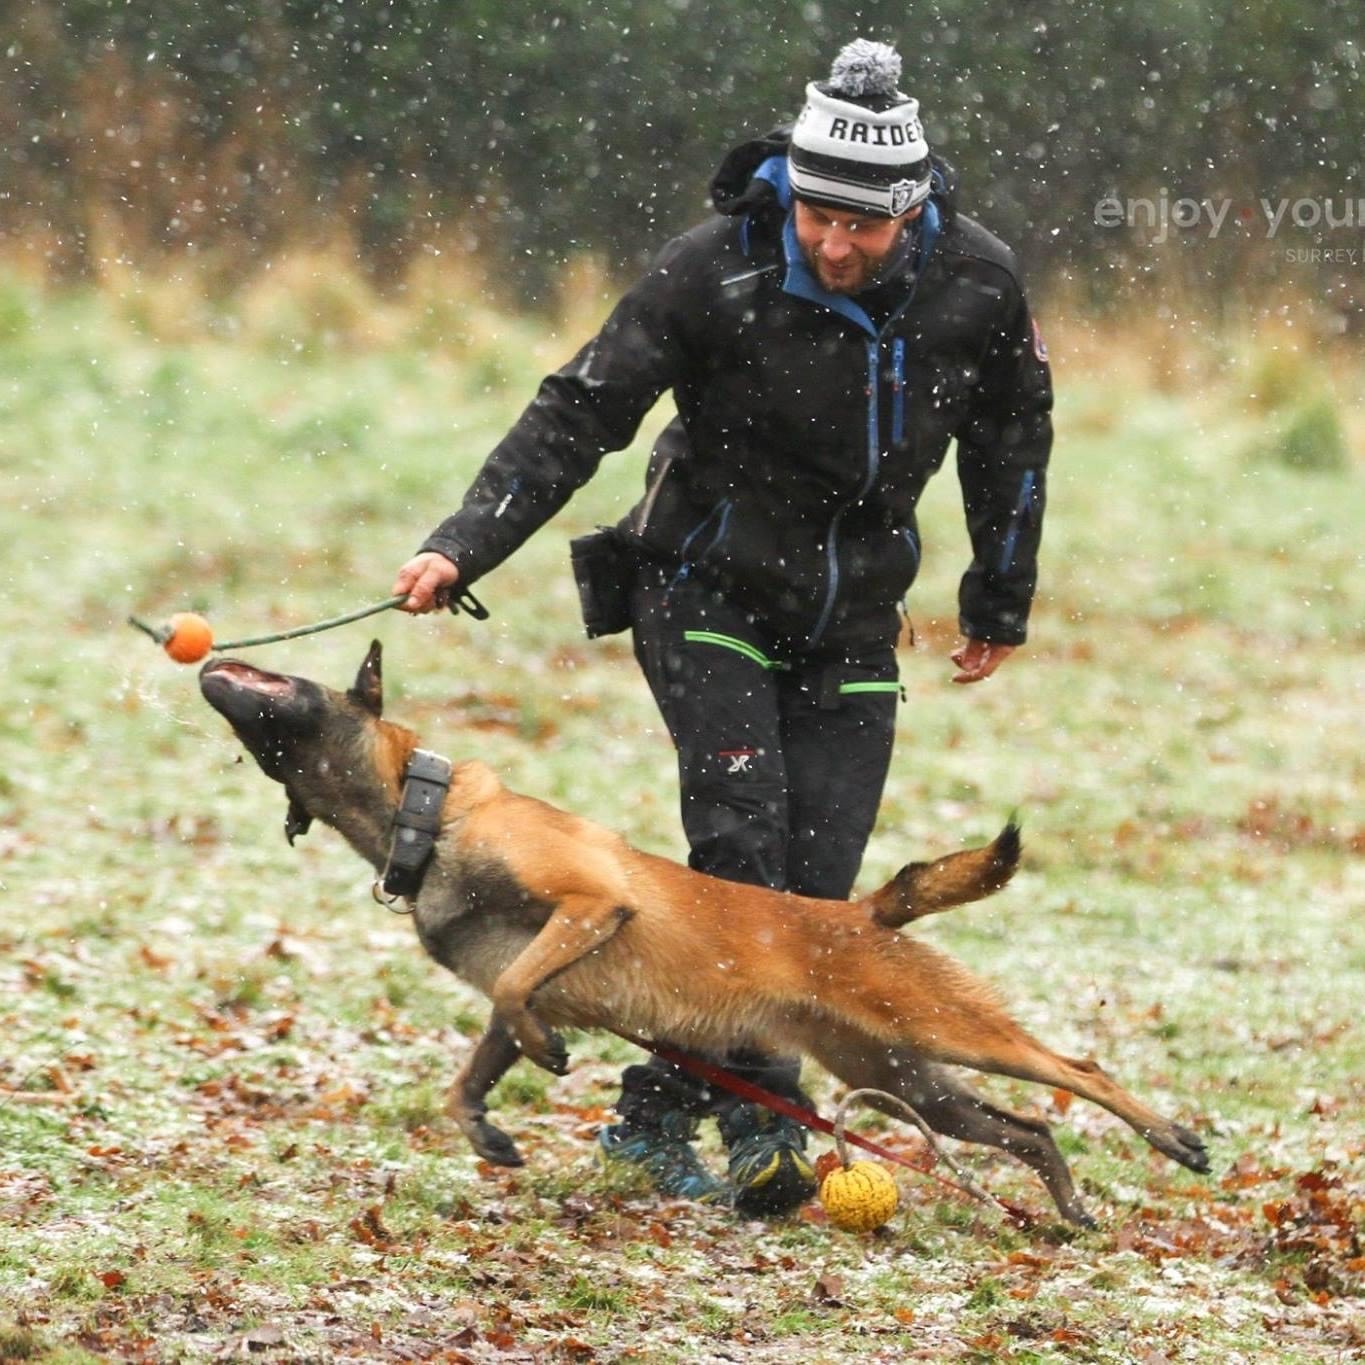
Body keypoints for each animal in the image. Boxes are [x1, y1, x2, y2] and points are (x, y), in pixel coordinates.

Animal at [199, 641, 1206, 1228]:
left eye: (287, 676)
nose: (216, 655)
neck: (429, 812)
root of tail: (863, 913)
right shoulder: (507, 977)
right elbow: (472, 1069)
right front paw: (487, 1127)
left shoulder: (590, 903)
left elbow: (524, 993)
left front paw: (546, 1051)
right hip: (902, 1074)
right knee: (1029, 1125)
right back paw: (1068, 1203)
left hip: (945, 1031)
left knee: (1079, 1070)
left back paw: (1170, 1136)